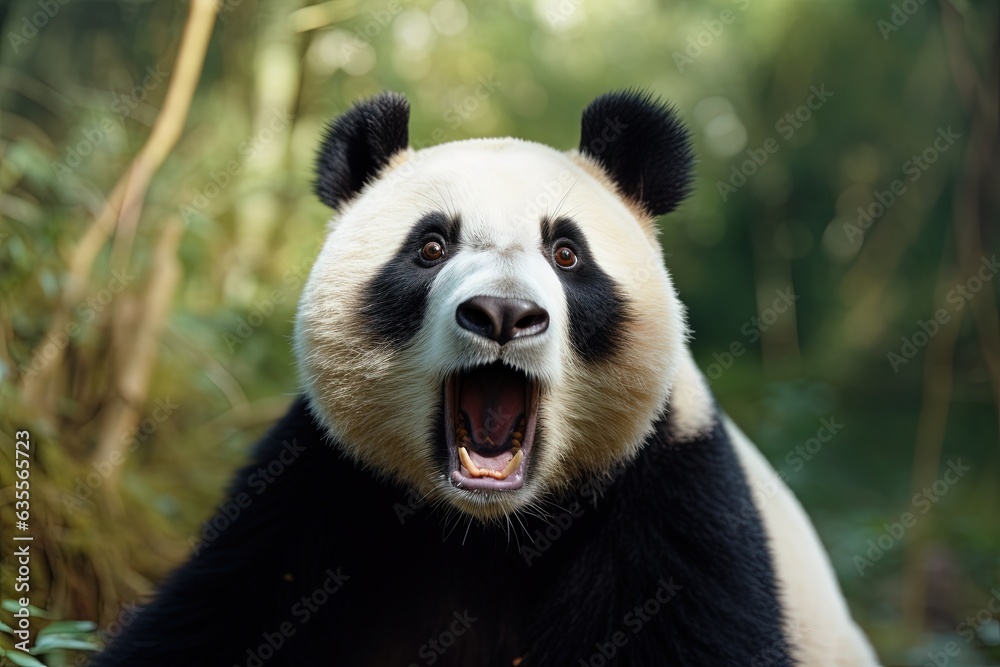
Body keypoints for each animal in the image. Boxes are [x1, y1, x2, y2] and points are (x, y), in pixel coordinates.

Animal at [92, 90, 878, 666]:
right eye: (431, 246)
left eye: (566, 252)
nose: (503, 313)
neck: (488, 529)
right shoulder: (321, 493)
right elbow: (219, 619)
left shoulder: (668, 503)